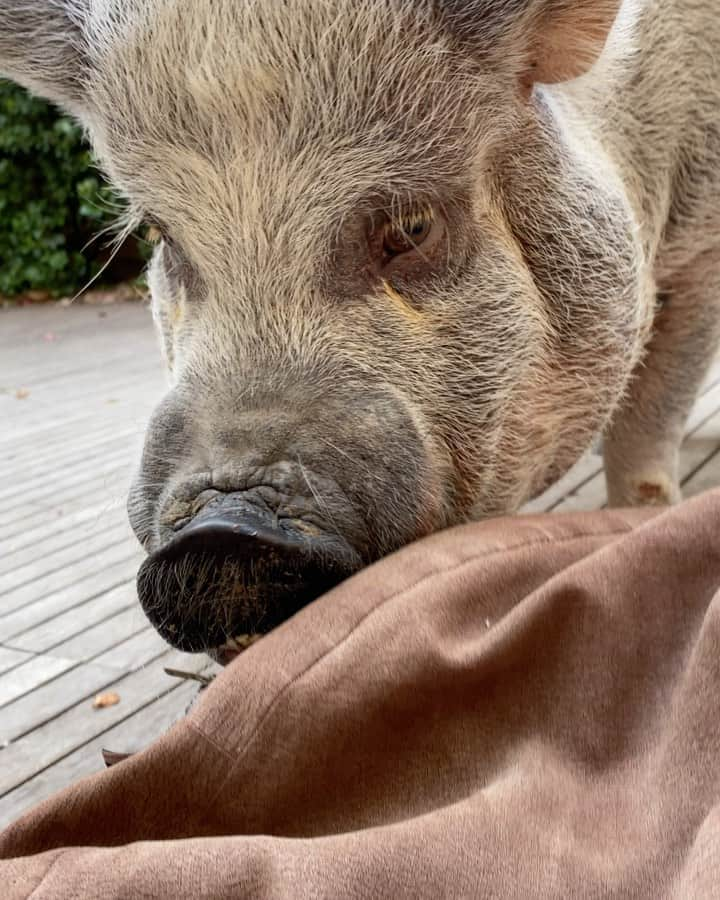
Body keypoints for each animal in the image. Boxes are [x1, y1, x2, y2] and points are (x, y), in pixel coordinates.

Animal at [2, 1, 716, 652]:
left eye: (412, 225)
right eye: (160, 234)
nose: (222, 533)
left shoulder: (700, 251)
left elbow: (652, 417)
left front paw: (642, 515)